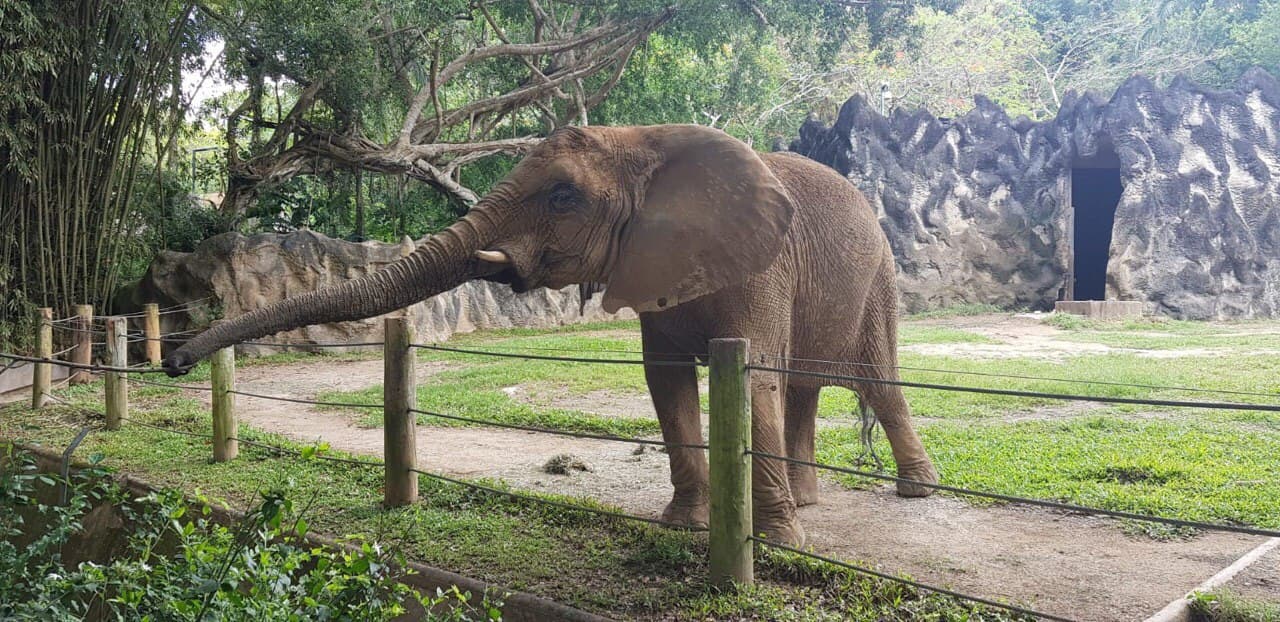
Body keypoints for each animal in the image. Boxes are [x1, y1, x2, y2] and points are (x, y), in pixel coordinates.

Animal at [164, 124, 940, 546]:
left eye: (564, 197)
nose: (174, 359)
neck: (645, 141)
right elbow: (666, 383)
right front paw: (681, 526)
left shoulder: (762, 266)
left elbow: (756, 379)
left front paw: (776, 542)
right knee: (809, 389)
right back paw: (813, 500)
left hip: (880, 276)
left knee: (877, 378)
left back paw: (916, 492)